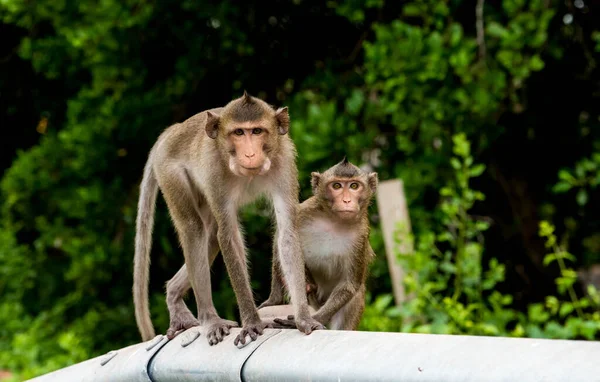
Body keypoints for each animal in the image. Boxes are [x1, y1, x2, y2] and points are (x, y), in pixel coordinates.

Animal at [134, 92, 326, 346]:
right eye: (238, 133)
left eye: (257, 131)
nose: (250, 154)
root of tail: (173, 130)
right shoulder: (214, 171)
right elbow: (227, 236)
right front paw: (251, 322)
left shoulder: (284, 161)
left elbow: (287, 233)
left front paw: (303, 318)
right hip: (169, 171)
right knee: (195, 229)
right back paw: (209, 319)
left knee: (209, 236)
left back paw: (174, 295)